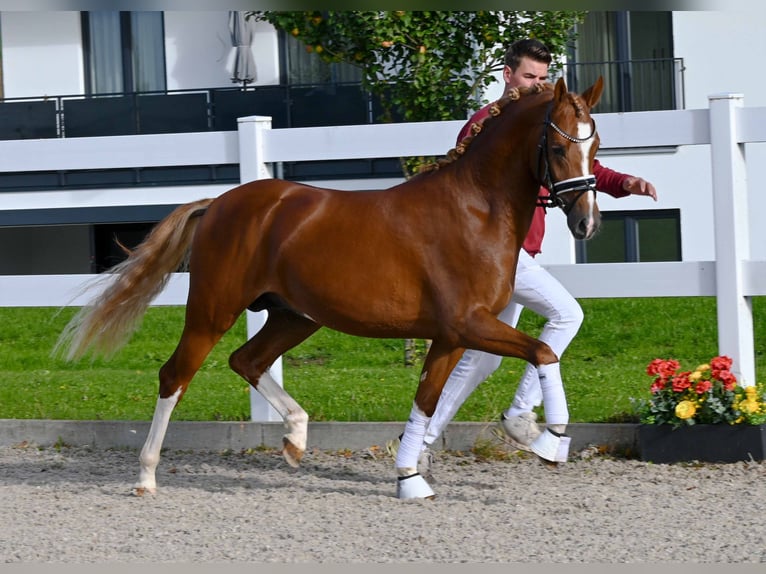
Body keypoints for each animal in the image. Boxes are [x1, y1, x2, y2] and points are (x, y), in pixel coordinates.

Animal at [55, 76, 604, 500]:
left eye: (595, 146)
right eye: (558, 147)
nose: (586, 223)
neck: (474, 210)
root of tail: (218, 204)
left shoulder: (452, 335)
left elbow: (429, 399)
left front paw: (410, 477)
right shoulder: (467, 324)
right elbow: (543, 352)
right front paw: (550, 439)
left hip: (294, 316)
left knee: (247, 360)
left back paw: (296, 437)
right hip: (214, 310)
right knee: (175, 375)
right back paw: (146, 476)